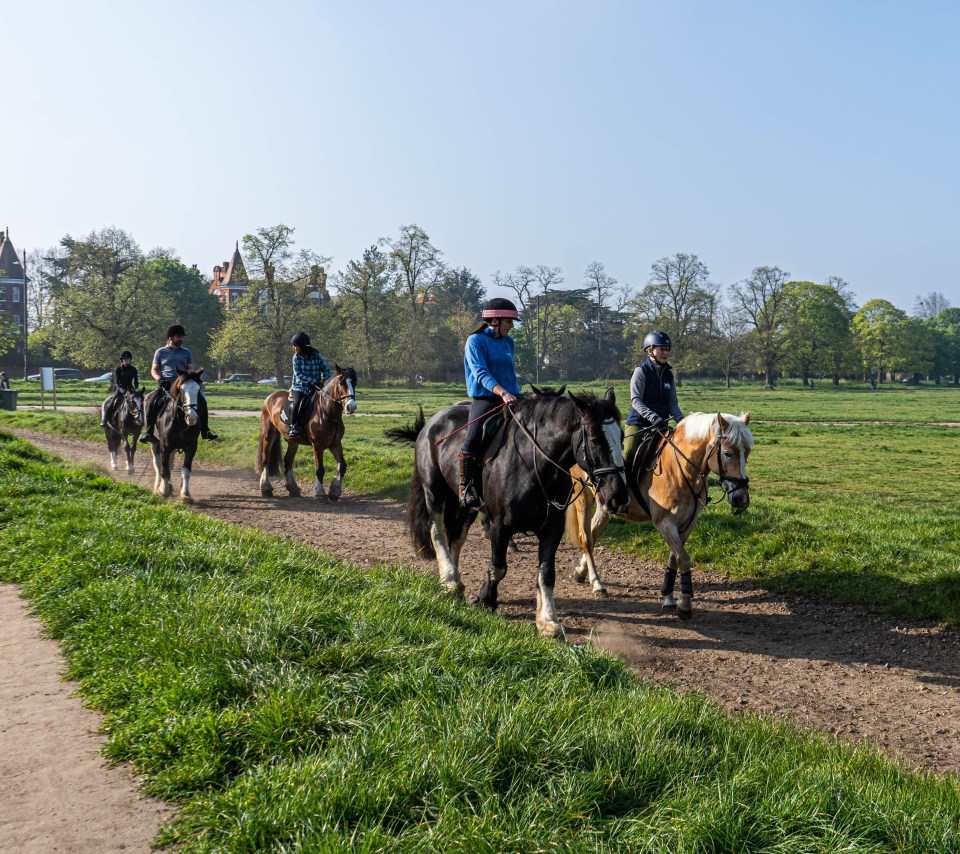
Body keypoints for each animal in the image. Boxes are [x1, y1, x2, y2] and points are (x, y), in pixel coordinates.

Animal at [149, 370, 203, 502]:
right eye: (182, 390)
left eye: (198, 390)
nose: (192, 418)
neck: (181, 423)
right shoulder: (165, 447)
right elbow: (164, 470)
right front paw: (163, 491)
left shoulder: (191, 447)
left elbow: (186, 471)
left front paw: (185, 494)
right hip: (154, 442)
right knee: (158, 464)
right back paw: (158, 487)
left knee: (170, 464)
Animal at [256, 364, 358, 498]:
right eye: (341, 383)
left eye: (354, 383)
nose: (351, 407)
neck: (327, 412)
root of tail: (270, 397)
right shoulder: (318, 446)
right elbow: (320, 469)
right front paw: (319, 493)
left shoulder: (335, 444)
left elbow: (342, 466)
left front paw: (334, 492)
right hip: (268, 434)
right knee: (265, 459)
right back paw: (266, 488)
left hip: (293, 441)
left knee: (288, 461)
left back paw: (293, 488)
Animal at [390, 392, 632, 640]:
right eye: (595, 439)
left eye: (622, 437)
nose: (619, 496)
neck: (535, 467)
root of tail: (431, 422)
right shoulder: (500, 526)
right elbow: (498, 568)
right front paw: (486, 600)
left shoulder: (552, 530)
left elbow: (547, 573)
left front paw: (547, 620)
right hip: (435, 491)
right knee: (437, 531)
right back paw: (450, 580)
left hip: (467, 505)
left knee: (456, 537)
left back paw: (453, 578)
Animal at [568, 412, 752, 620]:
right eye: (728, 453)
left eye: (747, 452)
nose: (741, 498)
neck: (682, 469)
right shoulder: (665, 524)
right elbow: (683, 559)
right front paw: (684, 605)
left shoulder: (687, 524)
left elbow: (674, 558)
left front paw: (669, 598)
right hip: (584, 498)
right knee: (586, 539)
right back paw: (597, 584)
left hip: (605, 506)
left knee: (592, 535)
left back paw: (581, 573)